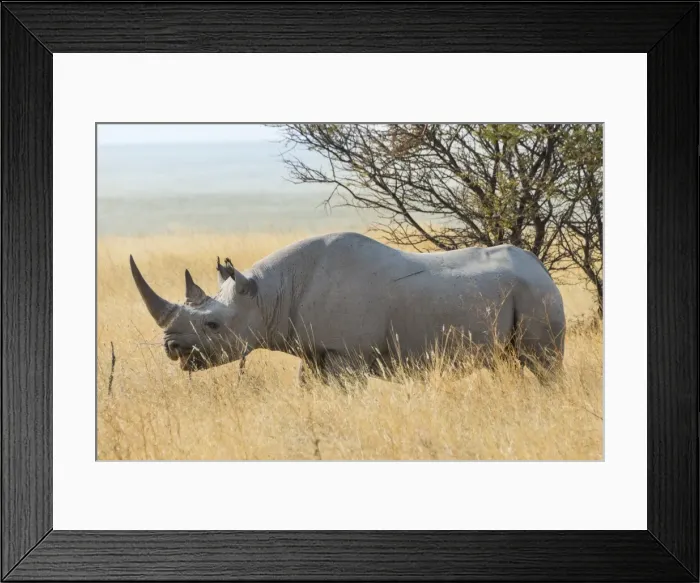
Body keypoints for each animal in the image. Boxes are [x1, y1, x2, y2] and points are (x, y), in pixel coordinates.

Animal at [129, 232, 566, 383]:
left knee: (541, 362)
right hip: (522, 291)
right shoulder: (314, 350)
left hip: (537, 293)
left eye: (214, 326)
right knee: (508, 361)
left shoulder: (346, 353)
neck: (267, 295)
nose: (171, 347)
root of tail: (540, 266)